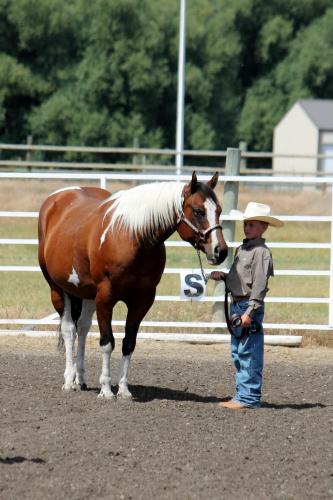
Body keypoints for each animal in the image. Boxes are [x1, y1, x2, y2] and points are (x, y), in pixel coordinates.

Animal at [37, 172, 227, 398]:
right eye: (198, 211)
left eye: (219, 210)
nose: (220, 251)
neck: (131, 237)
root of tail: (57, 198)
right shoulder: (105, 298)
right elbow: (107, 342)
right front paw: (106, 389)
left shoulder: (142, 301)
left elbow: (128, 343)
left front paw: (124, 390)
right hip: (58, 289)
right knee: (69, 329)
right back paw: (68, 380)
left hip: (86, 293)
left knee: (82, 328)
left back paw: (80, 379)